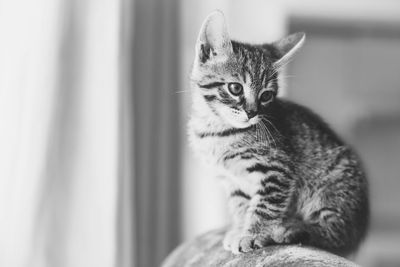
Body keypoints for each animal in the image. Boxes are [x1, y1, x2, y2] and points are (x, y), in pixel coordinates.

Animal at [188, 11, 368, 258]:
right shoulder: (232, 181)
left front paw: (252, 235)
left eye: (266, 96)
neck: (217, 129)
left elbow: (265, 206)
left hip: (333, 187)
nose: (252, 113)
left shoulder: (277, 168)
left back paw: (291, 229)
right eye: (235, 88)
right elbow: (242, 206)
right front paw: (241, 229)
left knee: (335, 234)